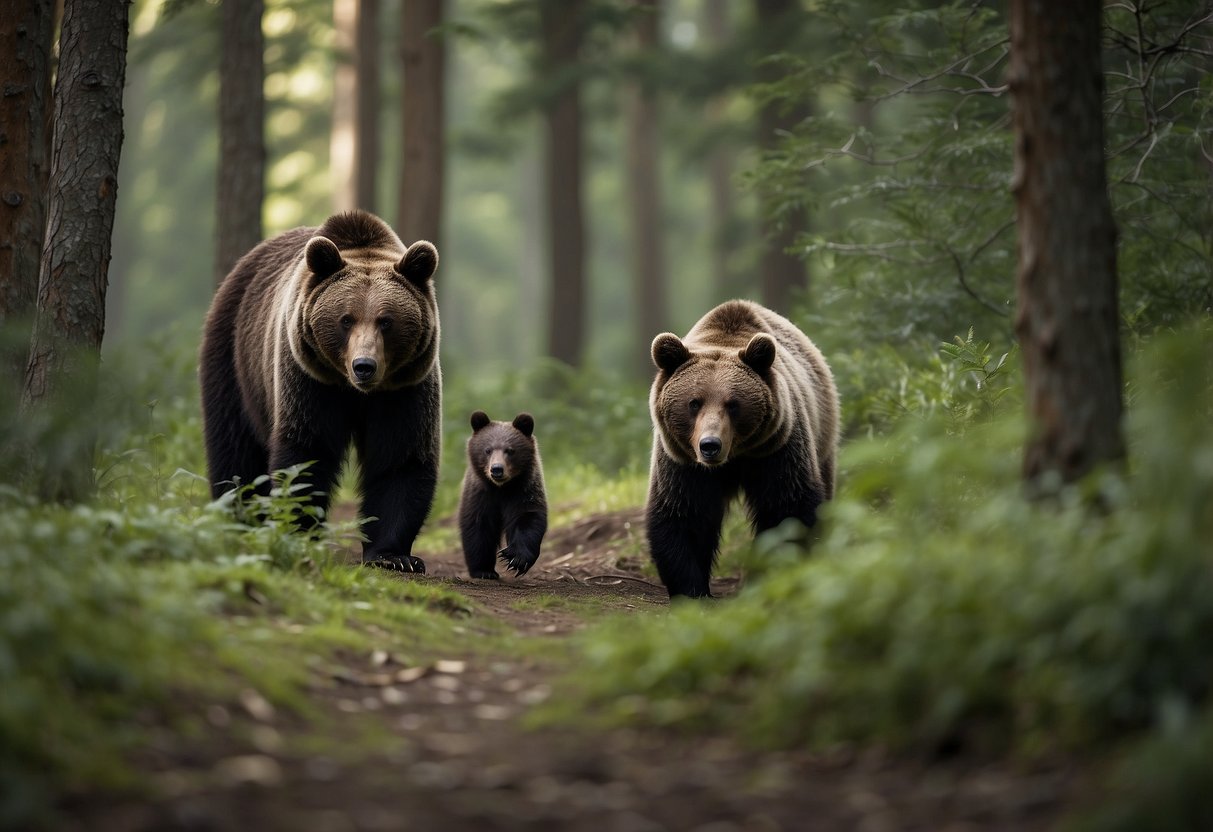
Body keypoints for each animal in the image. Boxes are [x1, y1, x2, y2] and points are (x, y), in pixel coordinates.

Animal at [198, 209, 441, 572]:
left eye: (386, 321)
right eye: (346, 319)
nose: (364, 365)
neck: (355, 392)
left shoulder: (404, 387)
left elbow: (401, 457)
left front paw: (394, 556)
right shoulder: (309, 379)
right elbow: (307, 451)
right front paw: (300, 533)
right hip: (234, 359)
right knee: (234, 447)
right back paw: (241, 523)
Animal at [456, 409, 548, 579]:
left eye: (510, 450)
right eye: (487, 450)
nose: (497, 469)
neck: (501, 488)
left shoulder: (523, 490)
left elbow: (527, 518)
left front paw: (516, 559)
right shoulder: (480, 494)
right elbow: (478, 527)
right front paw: (484, 570)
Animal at [650, 299, 839, 599]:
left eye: (733, 404)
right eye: (694, 403)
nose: (710, 445)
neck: (734, 458)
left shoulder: (777, 449)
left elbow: (787, 508)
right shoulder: (682, 461)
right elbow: (684, 513)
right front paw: (692, 589)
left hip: (822, 438)